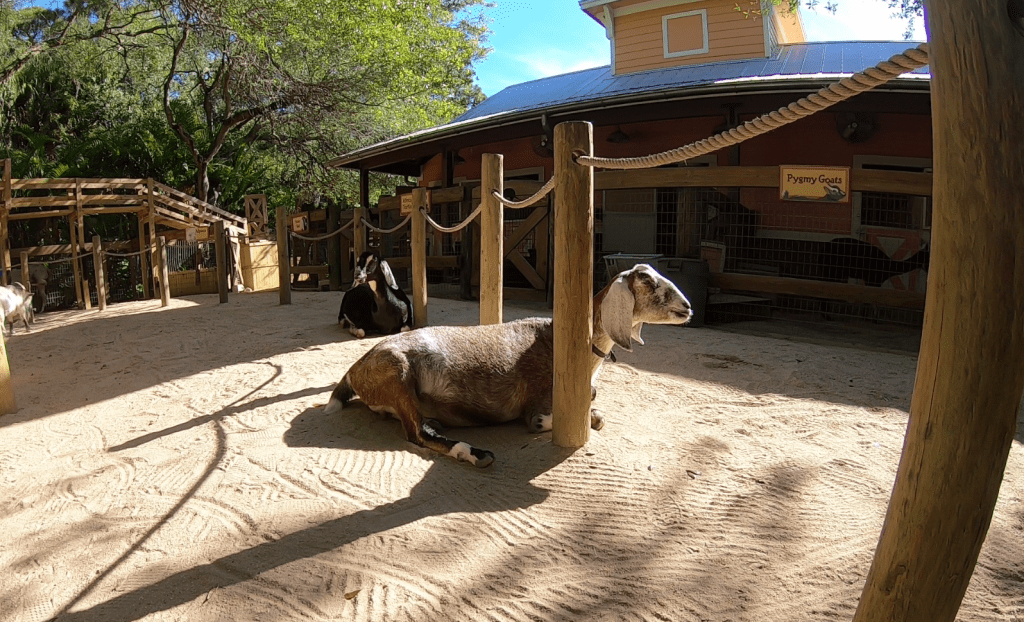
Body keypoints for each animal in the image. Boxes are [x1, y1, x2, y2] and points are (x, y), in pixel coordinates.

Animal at [323, 262, 692, 467]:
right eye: (648, 282)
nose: (687, 307)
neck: (556, 339)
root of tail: (354, 371)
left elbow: (598, 414)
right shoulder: (539, 405)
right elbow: (548, 420)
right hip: (397, 372)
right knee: (417, 433)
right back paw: (474, 453)